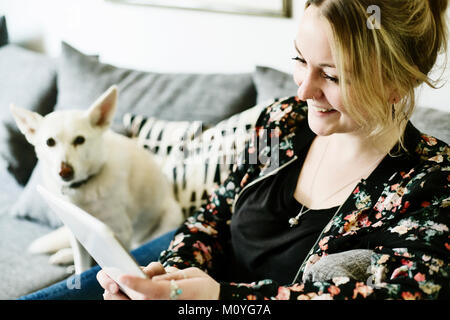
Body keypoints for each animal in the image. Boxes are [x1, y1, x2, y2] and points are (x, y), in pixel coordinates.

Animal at [10, 86, 183, 274]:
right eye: (50, 142)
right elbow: (82, 264)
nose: (65, 172)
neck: (83, 187)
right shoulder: (78, 229)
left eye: (80, 140)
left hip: (171, 215)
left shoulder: (121, 233)